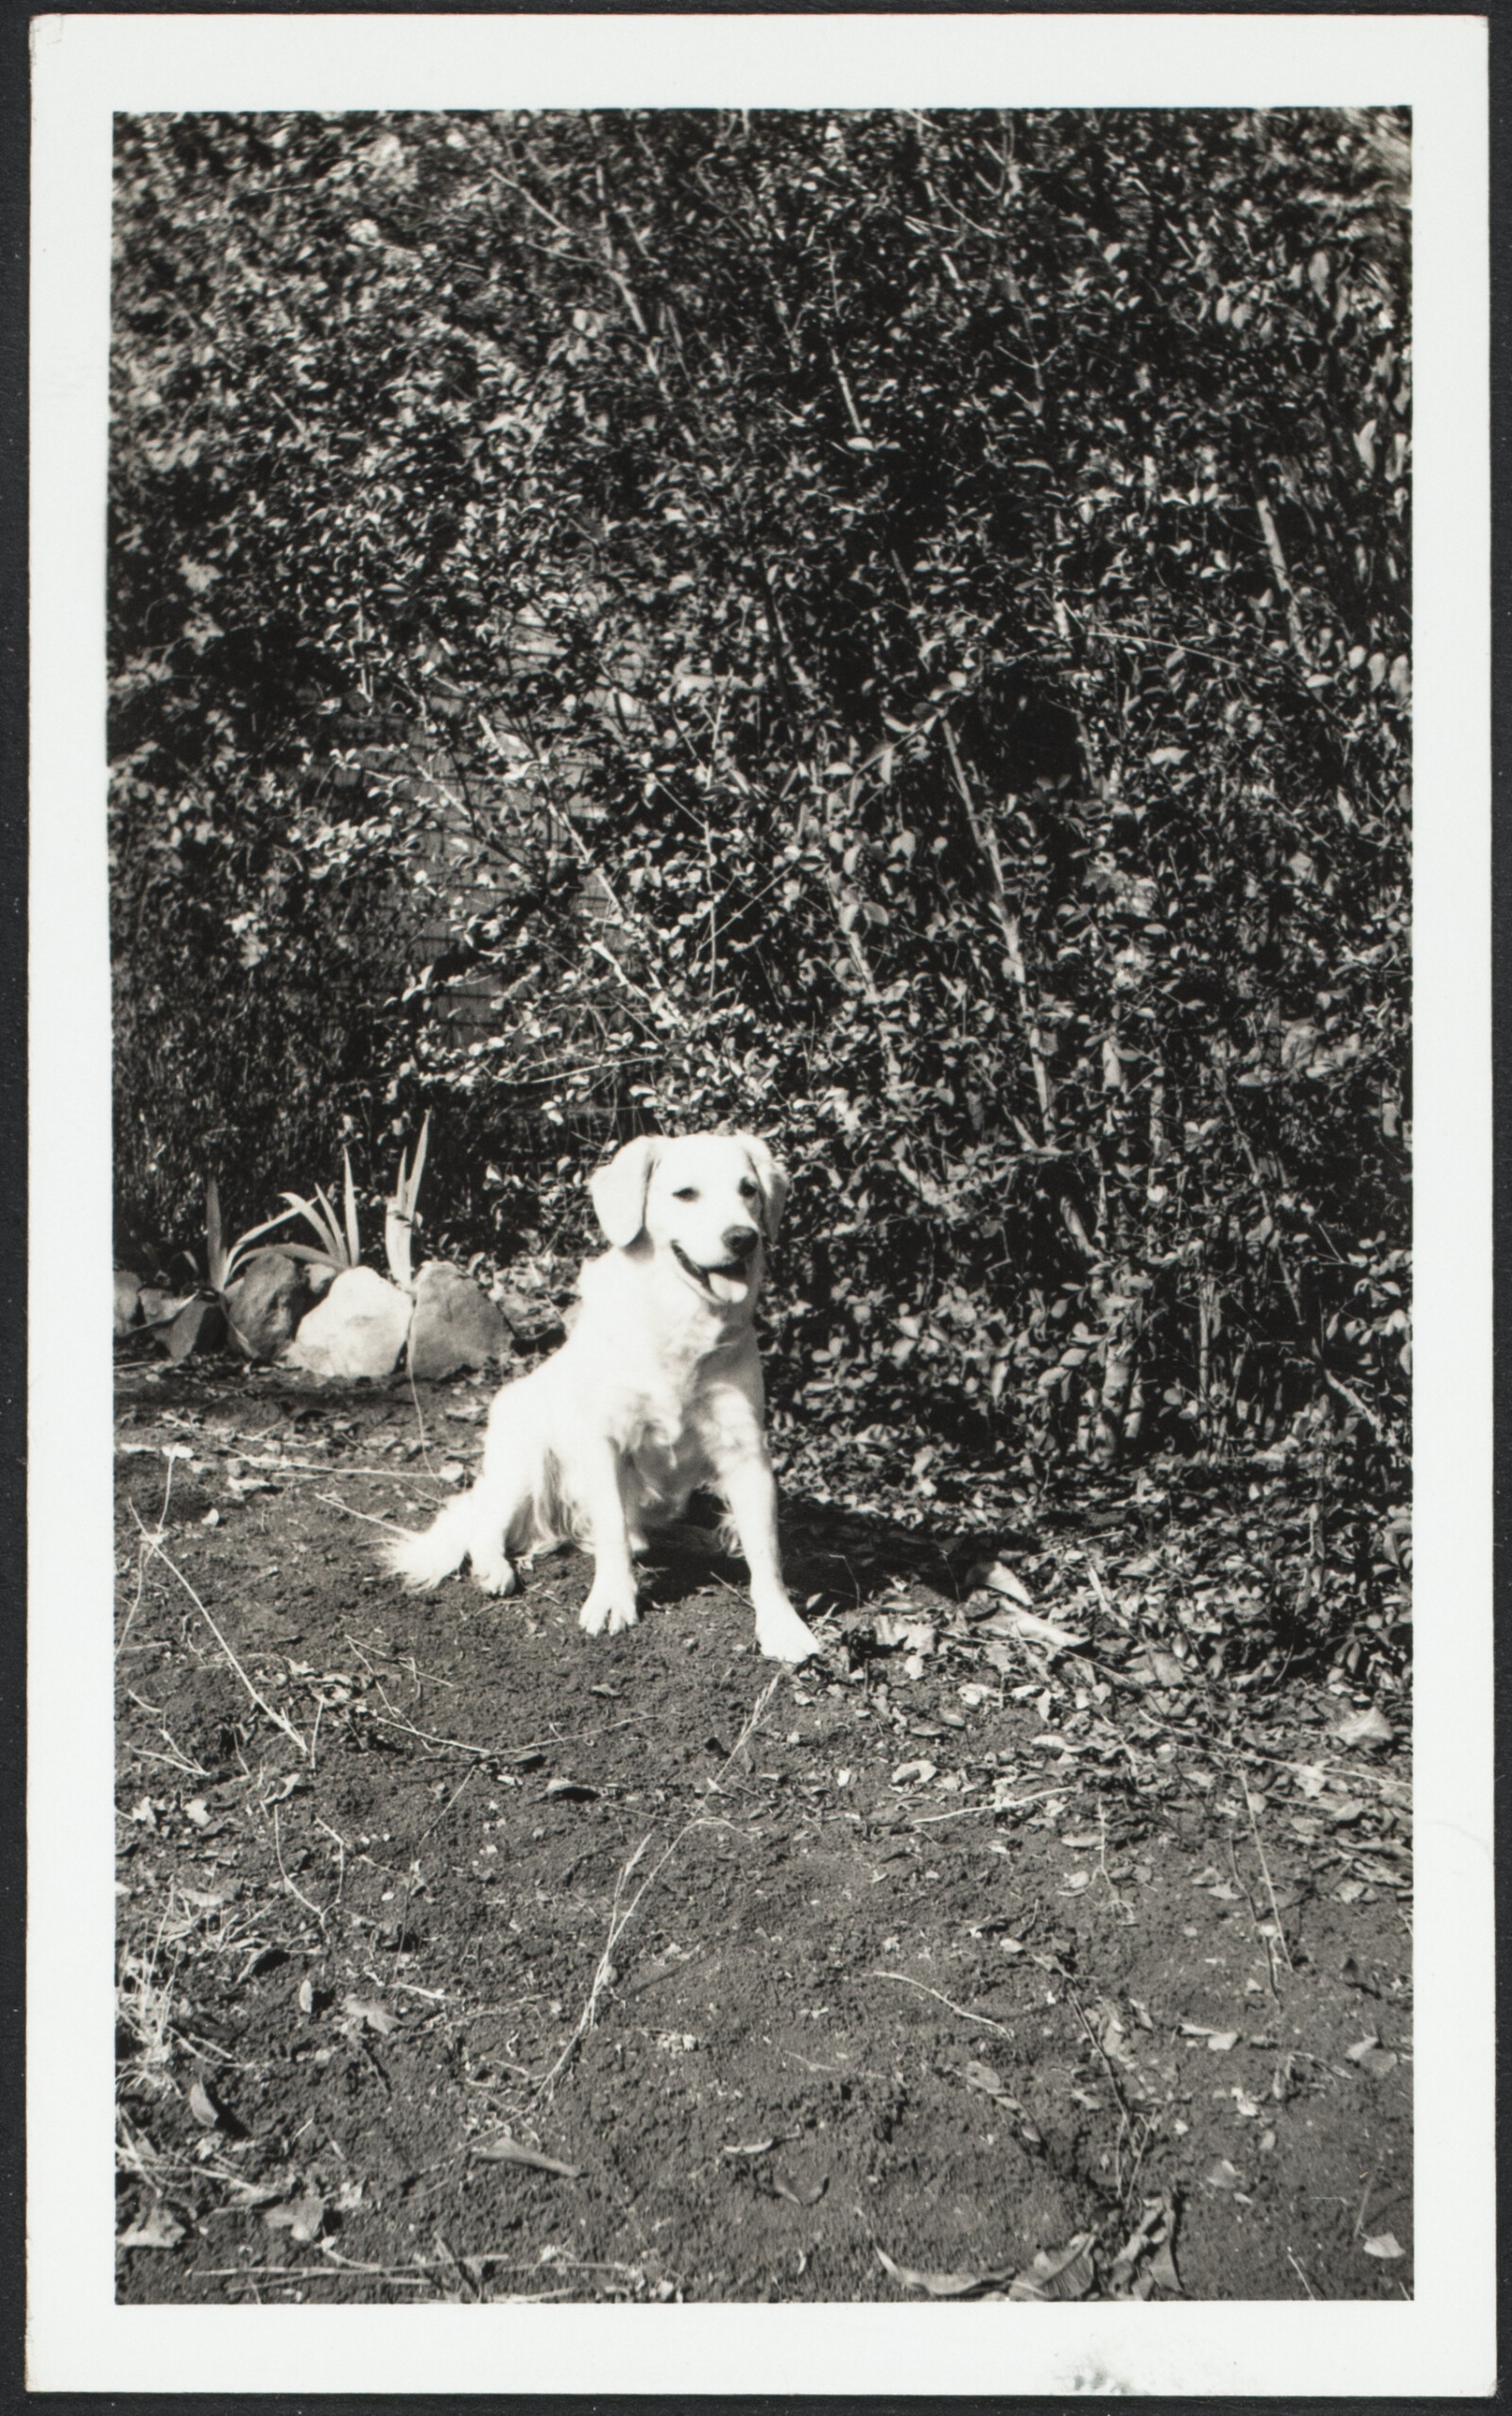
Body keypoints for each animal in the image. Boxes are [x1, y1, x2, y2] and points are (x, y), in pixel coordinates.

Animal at [381, 1130, 816, 1662]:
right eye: (685, 1194)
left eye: (748, 1190)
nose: (744, 1238)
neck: (678, 1321)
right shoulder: (603, 1441)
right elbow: (610, 1532)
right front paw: (612, 1601)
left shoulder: (746, 1450)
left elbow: (766, 1553)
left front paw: (781, 1624)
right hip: (524, 1462)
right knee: (488, 1525)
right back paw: (495, 1569)